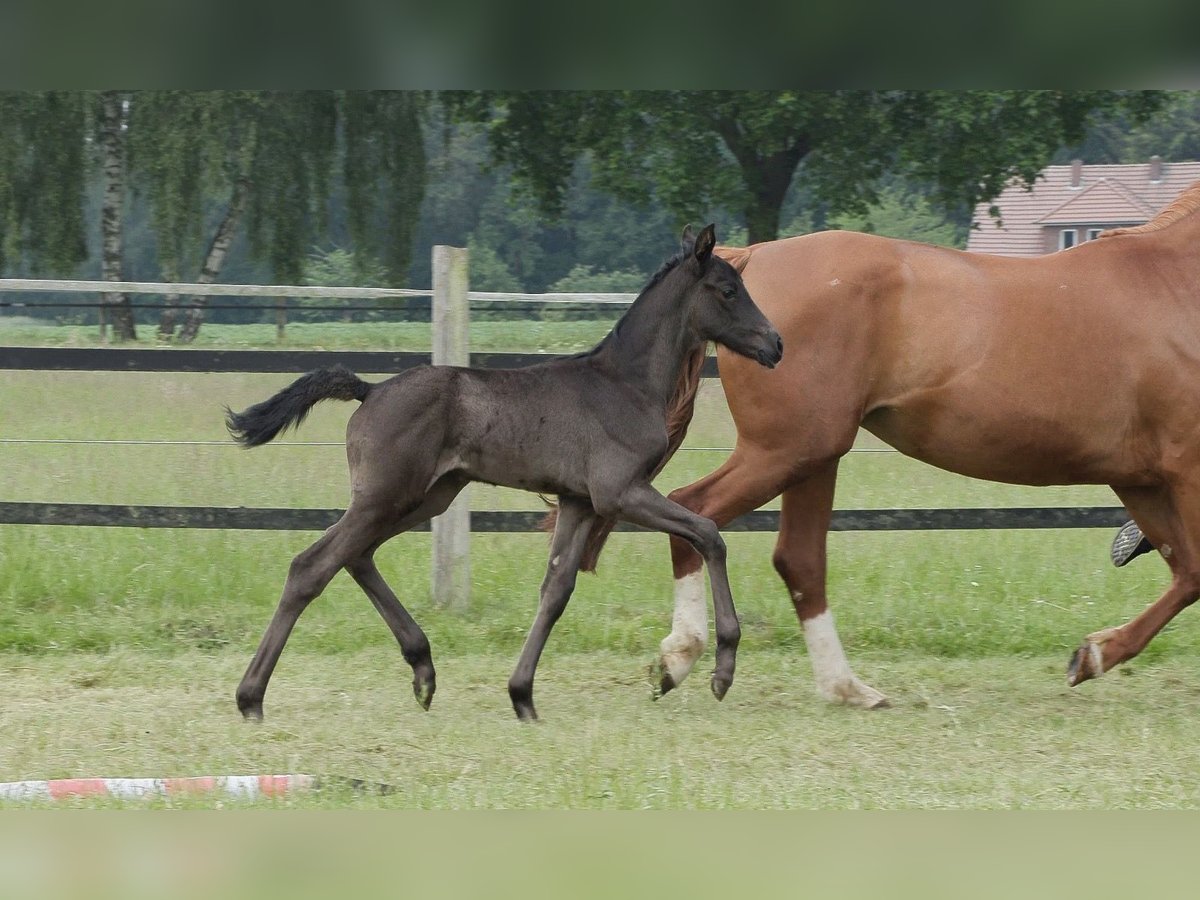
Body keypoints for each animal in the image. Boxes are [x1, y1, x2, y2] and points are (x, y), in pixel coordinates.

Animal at [657, 180, 1200, 710]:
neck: (1174, 283)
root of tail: (754, 255)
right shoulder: (1183, 471)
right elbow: (1197, 574)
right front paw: (1093, 654)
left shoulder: (1142, 480)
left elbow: (1189, 573)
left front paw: (1092, 655)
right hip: (784, 450)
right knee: (696, 510)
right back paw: (681, 657)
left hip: (812, 456)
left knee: (797, 559)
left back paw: (846, 688)